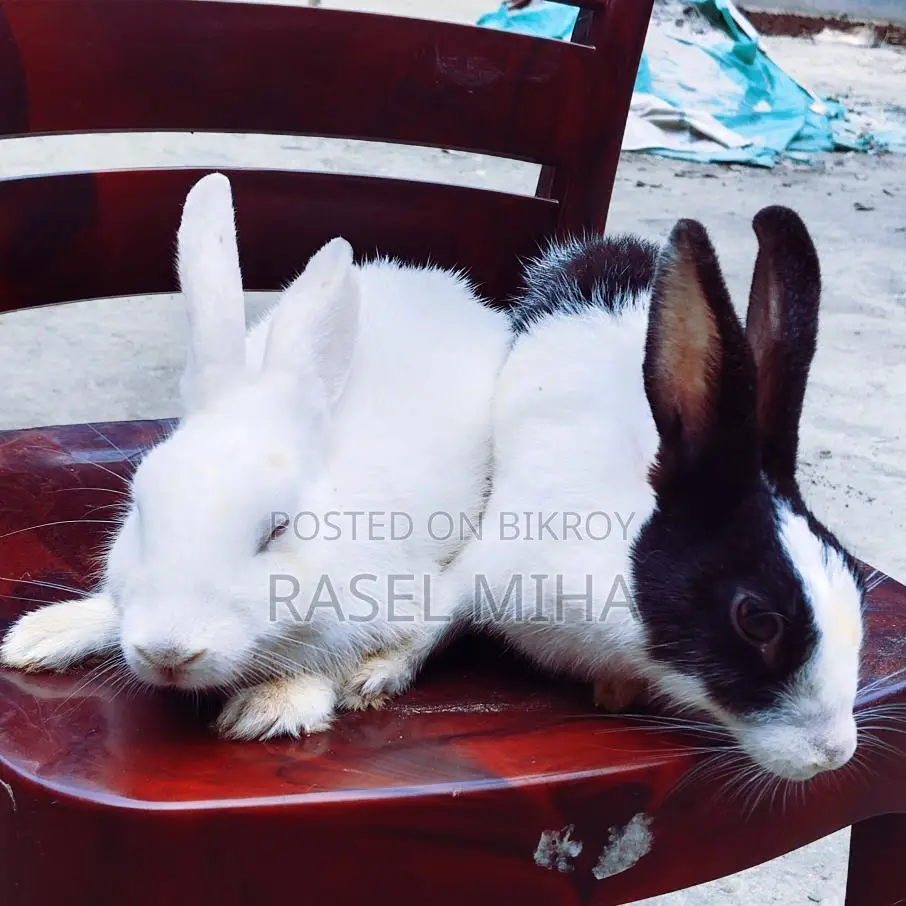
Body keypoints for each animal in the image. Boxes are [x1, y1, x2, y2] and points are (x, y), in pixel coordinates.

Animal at [0, 172, 513, 740]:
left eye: (277, 530)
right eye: (140, 512)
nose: (168, 653)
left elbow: (344, 657)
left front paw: (274, 706)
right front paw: (41, 634)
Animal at [347, 206, 867, 782]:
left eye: (856, 580)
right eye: (756, 620)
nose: (834, 754)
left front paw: (617, 690)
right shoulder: (490, 564)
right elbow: (431, 622)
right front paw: (372, 678)